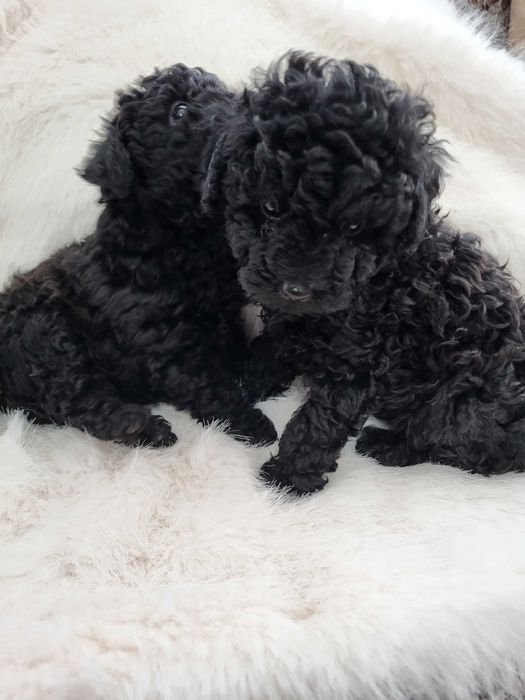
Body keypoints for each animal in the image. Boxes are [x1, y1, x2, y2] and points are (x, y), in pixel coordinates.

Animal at [0, 63, 277, 448]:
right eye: (179, 111)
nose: (251, 111)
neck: (184, 238)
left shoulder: (225, 313)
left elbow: (231, 344)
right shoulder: (165, 343)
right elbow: (209, 386)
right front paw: (252, 423)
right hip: (43, 333)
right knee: (74, 400)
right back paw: (144, 428)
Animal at [202, 51, 525, 493]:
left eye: (354, 227)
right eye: (270, 207)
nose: (297, 288)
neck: (374, 281)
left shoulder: (359, 364)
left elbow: (319, 421)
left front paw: (288, 480)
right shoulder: (289, 322)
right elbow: (270, 348)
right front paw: (246, 382)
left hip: (463, 397)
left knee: (479, 449)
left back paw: (388, 446)